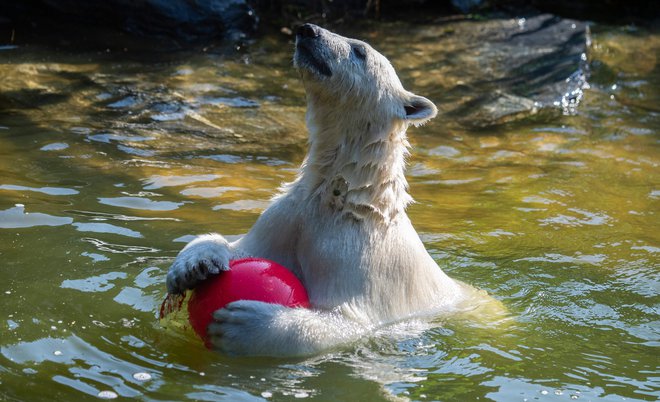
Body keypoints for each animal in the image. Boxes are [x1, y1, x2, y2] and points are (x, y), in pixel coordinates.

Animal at [168, 23, 490, 356]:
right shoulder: (290, 216)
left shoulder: (357, 254)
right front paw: (194, 265)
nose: (307, 29)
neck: (345, 197)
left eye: (359, 50)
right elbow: (246, 247)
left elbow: (347, 321)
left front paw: (243, 323)